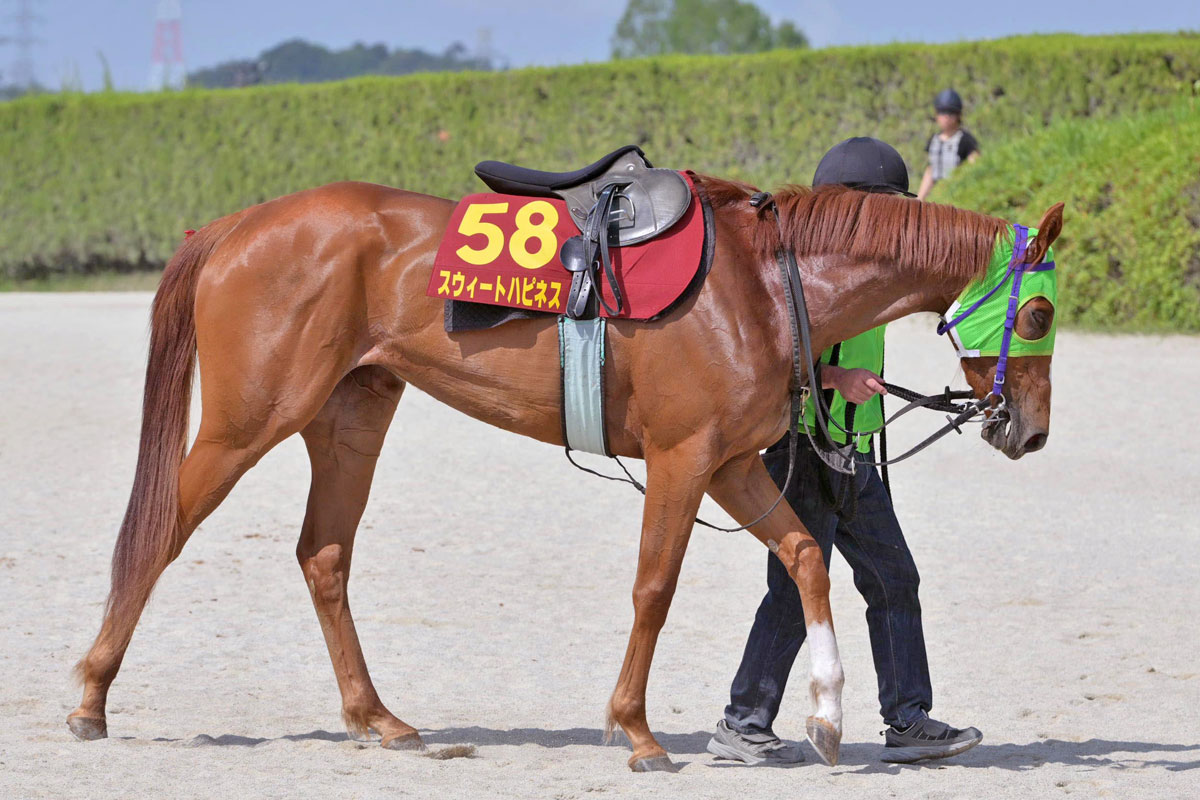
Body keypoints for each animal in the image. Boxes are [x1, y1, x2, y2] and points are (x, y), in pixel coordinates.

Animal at [67, 174, 1062, 771]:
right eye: (1041, 312)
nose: (1031, 431)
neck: (761, 286)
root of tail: (235, 223)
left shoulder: (731, 462)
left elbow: (806, 558)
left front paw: (824, 716)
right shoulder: (684, 457)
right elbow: (655, 586)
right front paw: (636, 729)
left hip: (351, 414)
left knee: (324, 556)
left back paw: (377, 717)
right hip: (248, 421)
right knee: (160, 534)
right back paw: (91, 697)